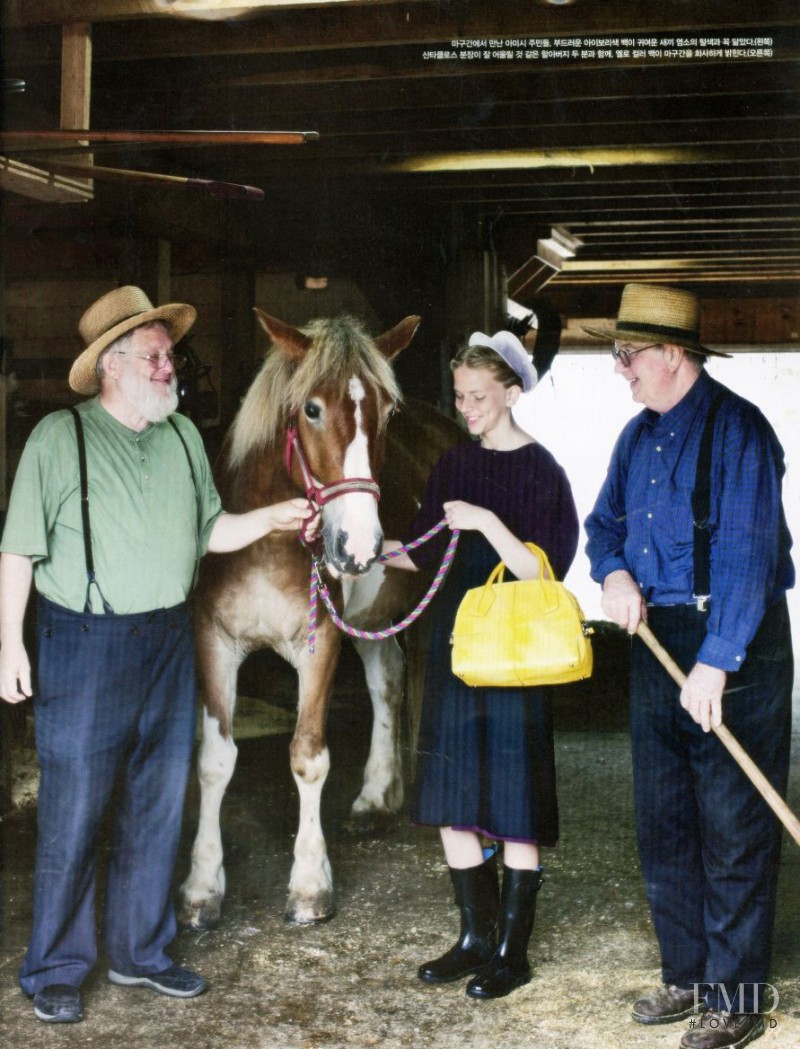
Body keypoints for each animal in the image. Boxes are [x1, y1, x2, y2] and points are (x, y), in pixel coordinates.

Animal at [175, 308, 463, 927]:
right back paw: (376, 798)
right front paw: (202, 887)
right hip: (373, 620)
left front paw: (309, 884)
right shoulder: (213, 642)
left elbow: (308, 757)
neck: (263, 543)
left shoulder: (320, 643)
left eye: (388, 411)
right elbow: (214, 761)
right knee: (387, 682)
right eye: (310, 408)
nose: (360, 545)